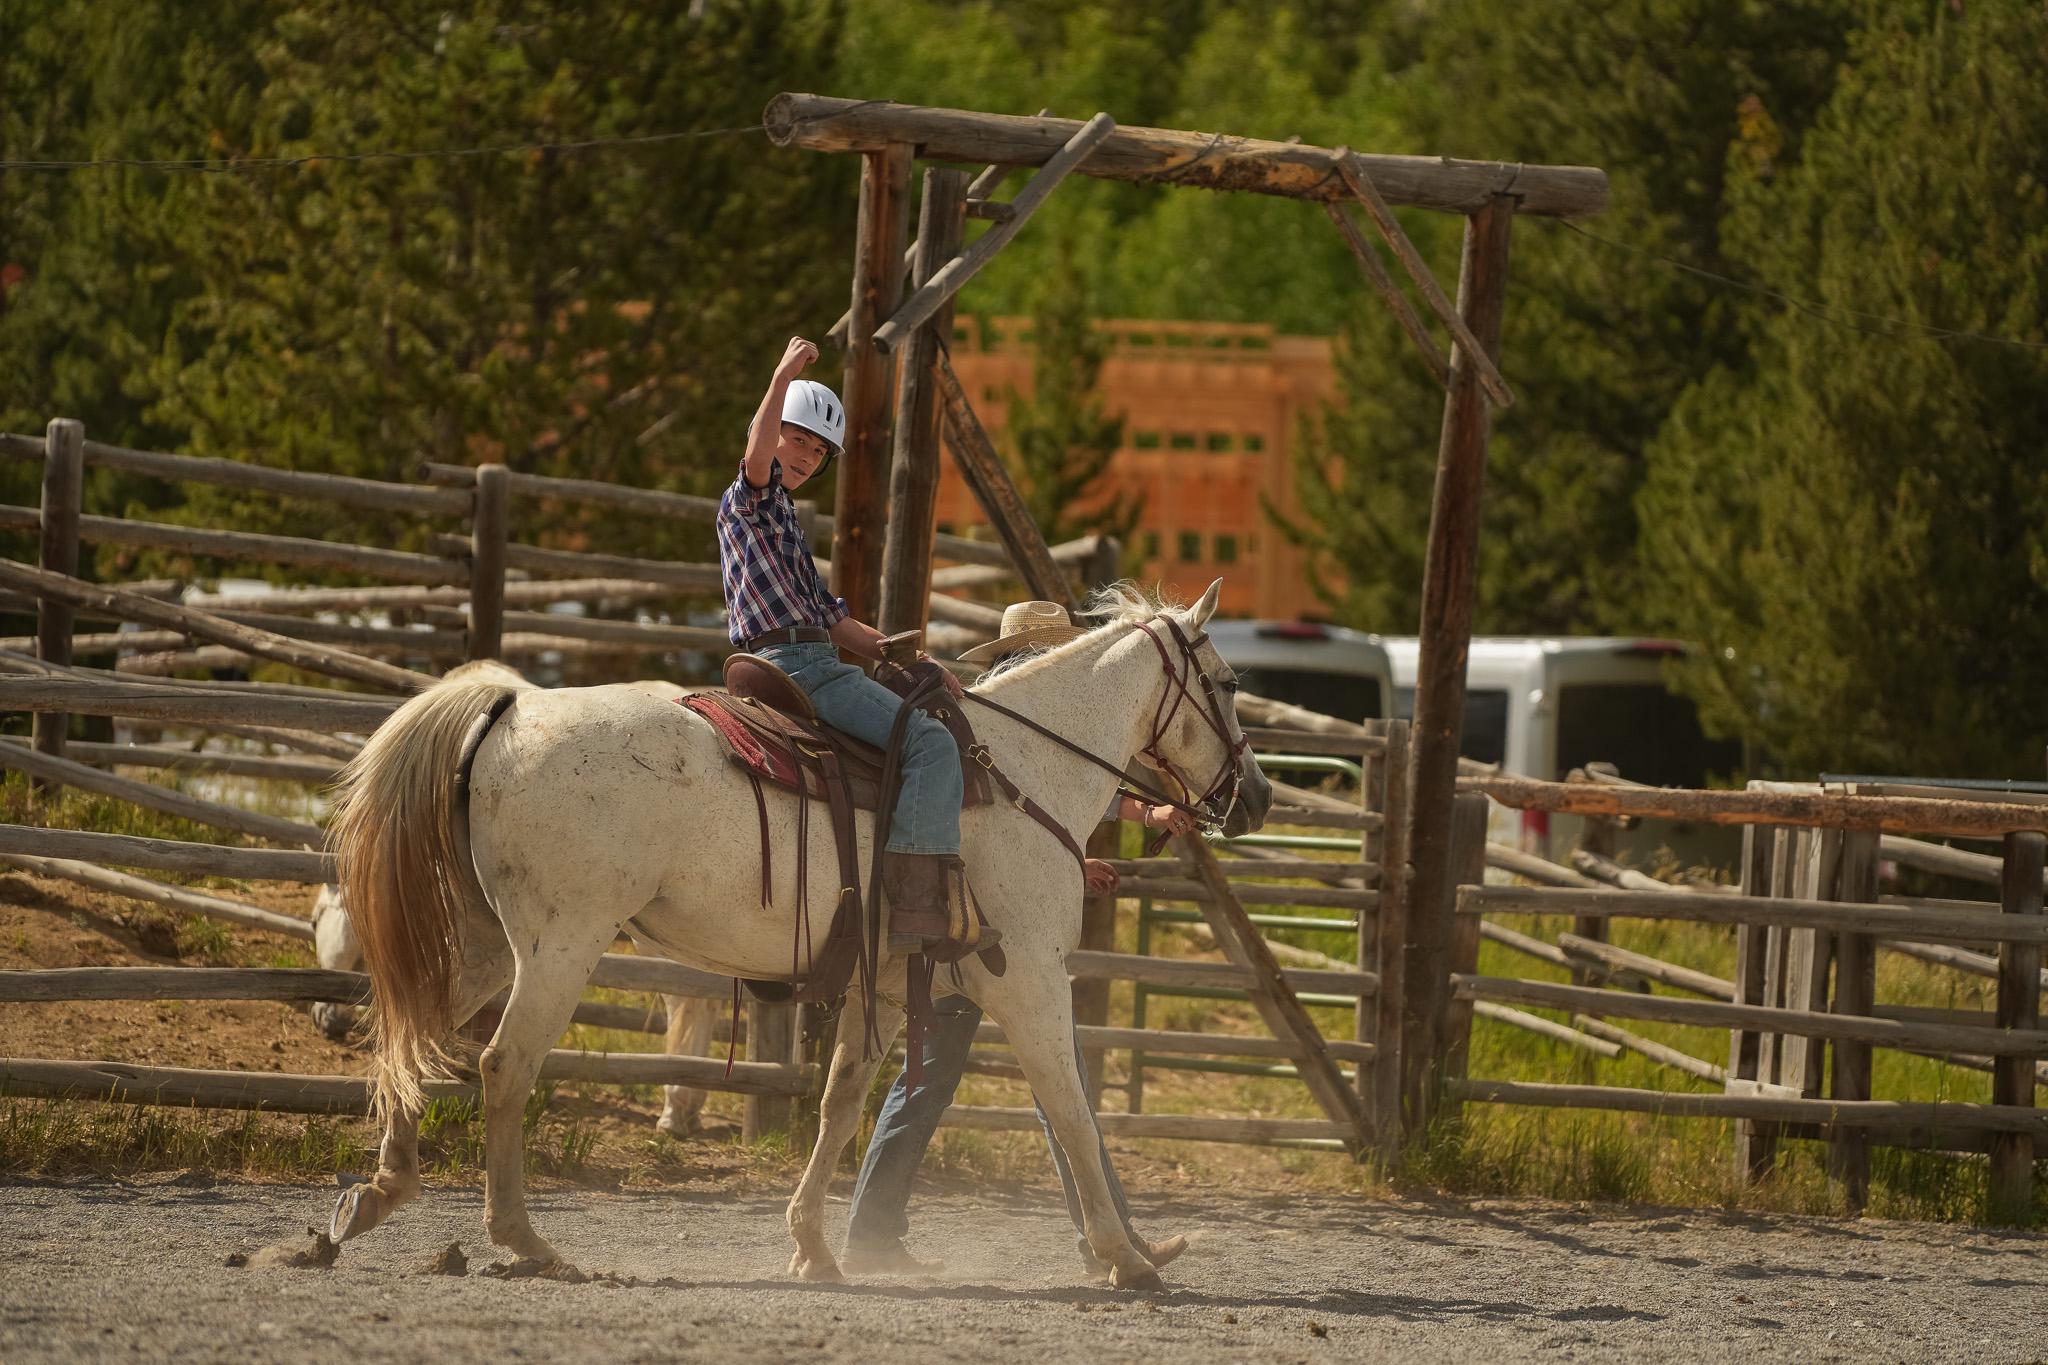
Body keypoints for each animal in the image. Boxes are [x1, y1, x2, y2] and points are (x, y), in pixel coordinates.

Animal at [323, 580, 1270, 1290]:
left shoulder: (884, 986)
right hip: (559, 945)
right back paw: (523, 1238)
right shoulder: (1030, 978)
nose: (1256, 796)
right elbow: (1073, 1112)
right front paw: (1127, 1258)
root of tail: (514, 704)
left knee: (416, 1034)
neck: (1017, 772)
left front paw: (814, 1246)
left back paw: (375, 1195)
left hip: (488, 942)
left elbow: (840, 1105)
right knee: (503, 1065)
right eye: (1226, 683)